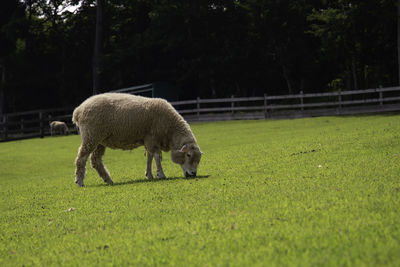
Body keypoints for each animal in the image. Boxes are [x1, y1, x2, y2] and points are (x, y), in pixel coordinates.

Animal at [71, 93, 203, 187]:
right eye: (188, 155)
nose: (193, 174)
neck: (171, 131)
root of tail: (78, 110)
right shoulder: (152, 137)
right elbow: (156, 156)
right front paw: (160, 174)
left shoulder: (148, 140)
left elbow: (150, 157)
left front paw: (149, 175)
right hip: (91, 136)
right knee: (81, 158)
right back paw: (80, 181)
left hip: (100, 140)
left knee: (96, 160)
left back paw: (108, 179)